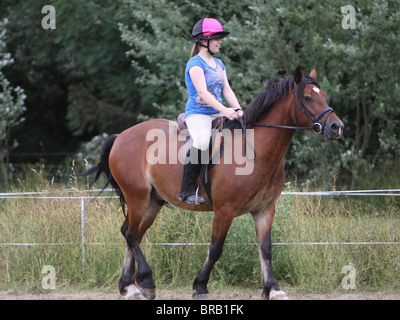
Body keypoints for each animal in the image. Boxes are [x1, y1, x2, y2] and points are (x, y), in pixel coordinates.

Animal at [80, 67, 344, 300]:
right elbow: (216, 249)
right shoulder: (225, 210)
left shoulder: (265, 210)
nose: (336, 127)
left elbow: (266, 249)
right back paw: (144, 282)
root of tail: (121, 136)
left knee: (131, 233)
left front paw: (273, 289)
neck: (256, 150)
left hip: (153, 202)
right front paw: (200, 286)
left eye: (324, 95)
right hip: (137, 197)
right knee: (131, 234)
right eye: (308, 97)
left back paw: (129, 286)